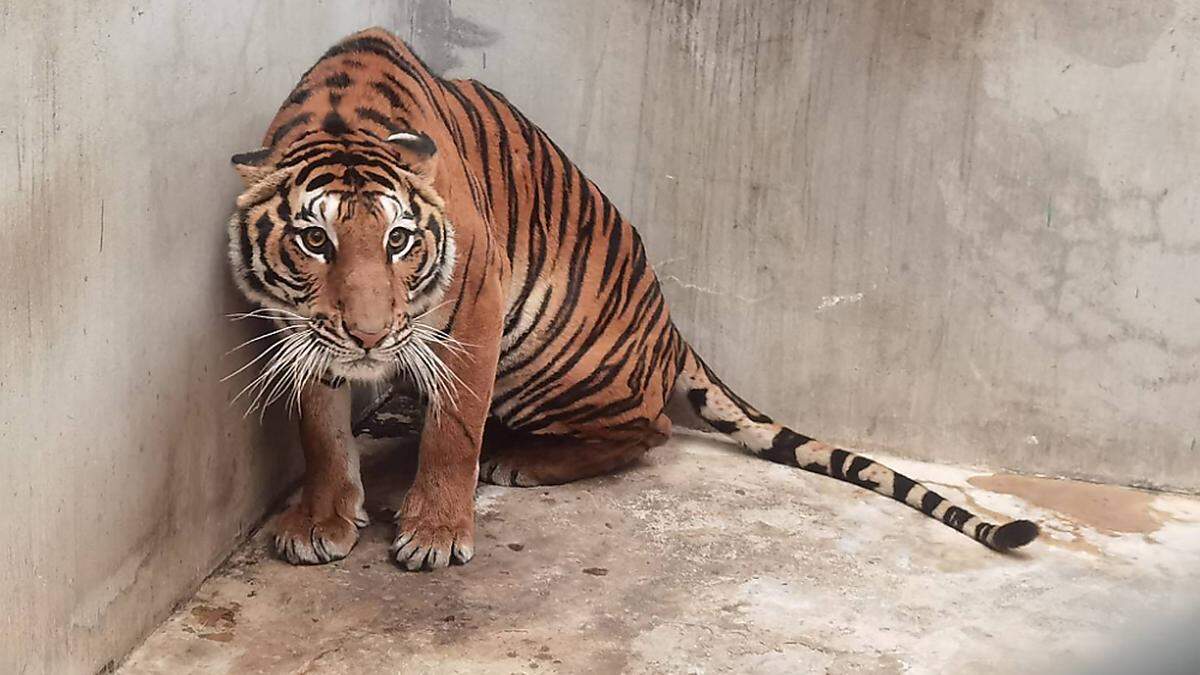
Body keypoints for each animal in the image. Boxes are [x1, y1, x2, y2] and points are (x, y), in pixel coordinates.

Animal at [229, 28, 1036, 569]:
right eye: (315, 240)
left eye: (399, 240)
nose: (370, 337)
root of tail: (673, 334)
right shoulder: (298, 327)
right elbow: (320, 427)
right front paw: (323, 520)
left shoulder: (478, 296)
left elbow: (455, 429)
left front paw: (434, 533)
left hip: (552, 354)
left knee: (654, 429)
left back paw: (519, 459)